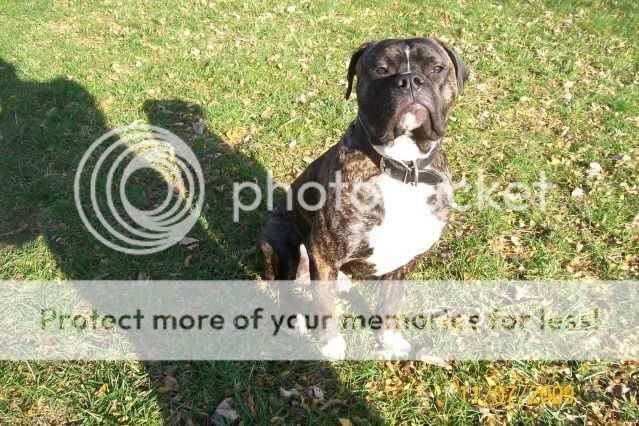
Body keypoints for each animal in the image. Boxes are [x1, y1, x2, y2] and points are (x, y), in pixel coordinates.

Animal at [258, 37, 470, 360]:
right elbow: (325, 307)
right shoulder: (322, 251)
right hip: (281, 242)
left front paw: (388, 340)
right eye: (381, 69)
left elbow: (390, 303)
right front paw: (330, 343)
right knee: (284, 288)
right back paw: (295, 320)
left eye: (436, 68)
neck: (401, 166)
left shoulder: (407, 261)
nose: (410, 80)